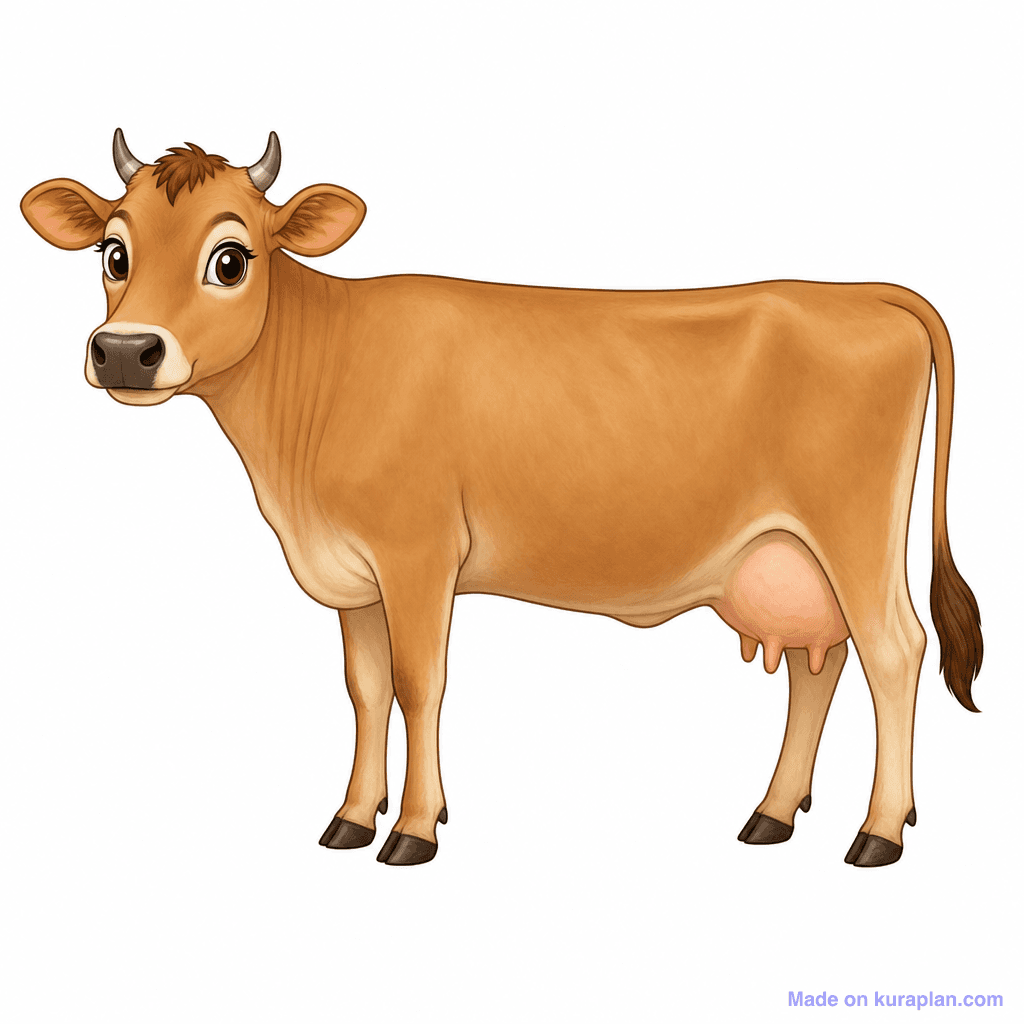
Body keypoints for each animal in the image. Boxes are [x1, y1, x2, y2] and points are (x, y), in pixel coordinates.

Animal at [21, 130, 982, 867]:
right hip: (792, 556)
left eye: (230, 258)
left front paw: (413, 830)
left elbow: (419, 684)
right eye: (114, 252)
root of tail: (858, 293)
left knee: (895, 651)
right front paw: (351, 818)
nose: (125, 351)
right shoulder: (354, 573)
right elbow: (365, 688)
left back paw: (879, 833)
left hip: (853, 533)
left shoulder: (416, 554)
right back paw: (771, 815)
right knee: (823, 666)